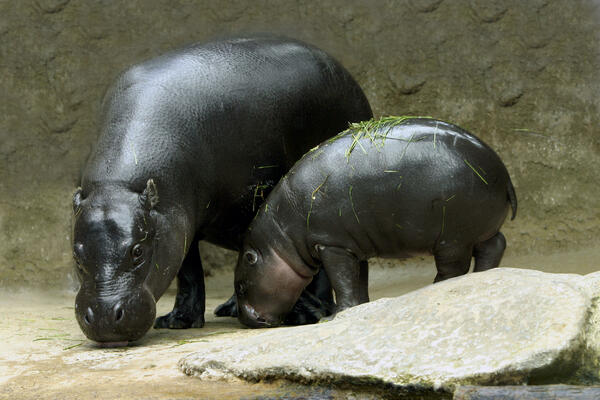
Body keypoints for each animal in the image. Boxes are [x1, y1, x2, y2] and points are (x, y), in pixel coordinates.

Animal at [70, 36, 370, 346]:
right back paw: (230, 307)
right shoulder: (177, 223)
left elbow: (272, 253)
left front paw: (299, 313)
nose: (104, 317)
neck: (118, 186)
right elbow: (189, 272)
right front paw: (179, 321)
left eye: (138, 251)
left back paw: (316, 308)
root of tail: (339, 67)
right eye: (76, 255)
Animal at [234, 116, 516, 328]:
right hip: (479, 229)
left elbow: (342, 282)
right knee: (494, 246)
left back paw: (434, 287)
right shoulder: (354, 247)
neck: (281, 240)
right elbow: (357, 280)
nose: (246, 320)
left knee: (453, 267)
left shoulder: (332, 244)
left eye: (240, 286)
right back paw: (483, 275)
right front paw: (360, 307)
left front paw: (333, 316)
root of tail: (504, 175)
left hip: (452, 238)